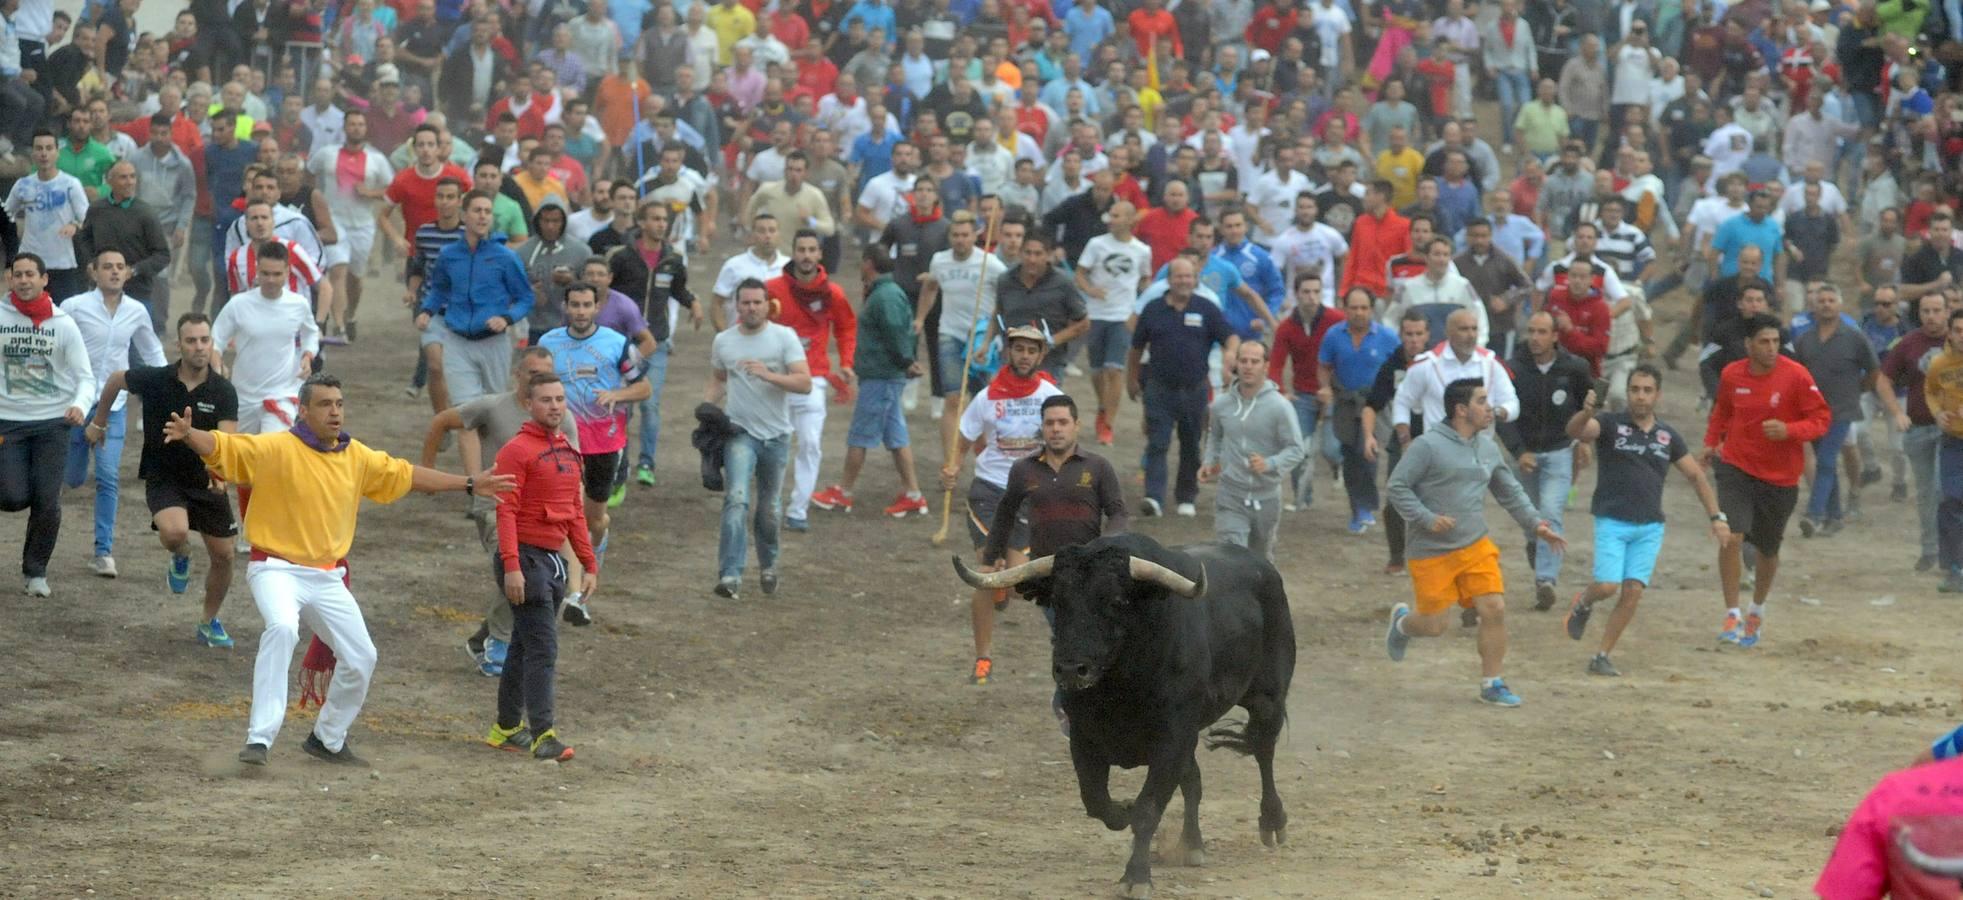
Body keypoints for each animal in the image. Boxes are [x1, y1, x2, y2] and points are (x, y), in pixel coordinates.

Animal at [954, 534, 1295, 900]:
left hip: (1267, 699)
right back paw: (1191, 844)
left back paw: (1272, 821)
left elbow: (1149, 808)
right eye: (1058, 601)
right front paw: (1125, 811)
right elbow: (1096, 801)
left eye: (1116, 601)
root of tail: (1263, 569)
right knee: (1194, 780)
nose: (1071, 669)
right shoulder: (1084, 738)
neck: (1121, 685)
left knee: (1263, 750)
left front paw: (1136, 876)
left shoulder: (1172, 738)